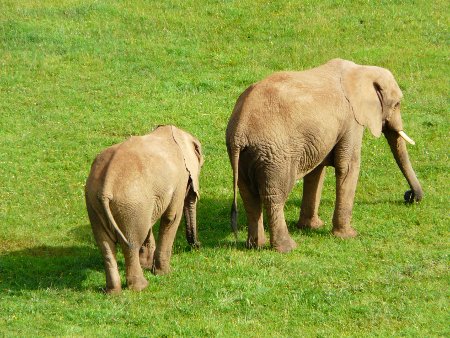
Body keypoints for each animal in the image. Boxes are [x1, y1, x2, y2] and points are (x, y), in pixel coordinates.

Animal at [85, 125, 204, 292]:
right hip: (129, 204)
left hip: (96, 205)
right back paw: (140, 287)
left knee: (105, 245)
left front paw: (149, 267)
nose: (197, 246)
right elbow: (172, 217)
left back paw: (113, 292)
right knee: (130, 244)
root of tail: (105, 187)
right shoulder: (179, 178)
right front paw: (164, 273)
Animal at [227, 58, 424, 254]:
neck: (361, 70)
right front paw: (348, 236)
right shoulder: (351, 120)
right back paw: (287, 248)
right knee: (274, 197)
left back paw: (255, 246)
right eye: (397, 104)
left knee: (249, 196)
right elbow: (348, 166)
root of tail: (240, 130)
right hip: (275, 154)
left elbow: (317, 171)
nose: (409, 196)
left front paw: (311, 227)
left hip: (246, 157)